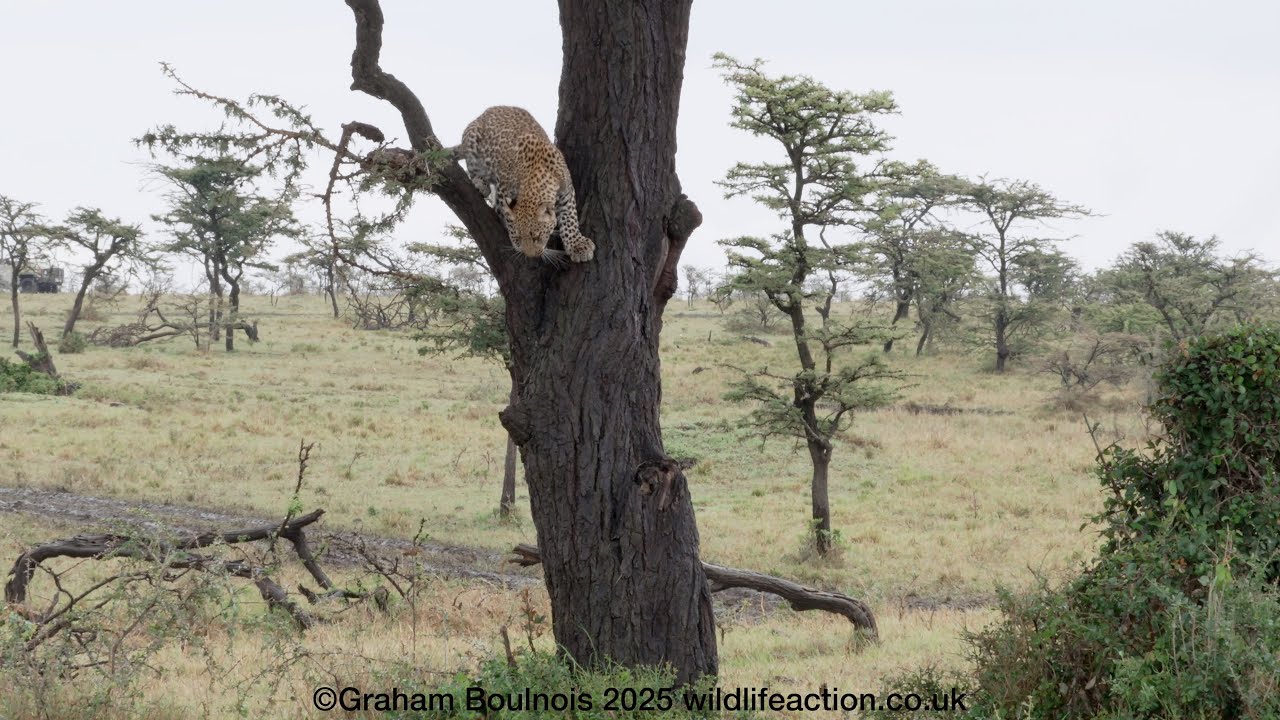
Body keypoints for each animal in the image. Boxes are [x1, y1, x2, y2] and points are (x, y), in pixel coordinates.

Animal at [454, 106, 594, 264]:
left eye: (537, 237)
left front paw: (578, 246)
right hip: (472, 140)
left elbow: (569, 218)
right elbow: (505, 213)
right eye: (519, 237)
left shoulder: (566, 191)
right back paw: (480, 184)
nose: (530, 256)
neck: (535, 176)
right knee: (473, 169)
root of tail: (488, 111)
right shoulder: (503, 189)